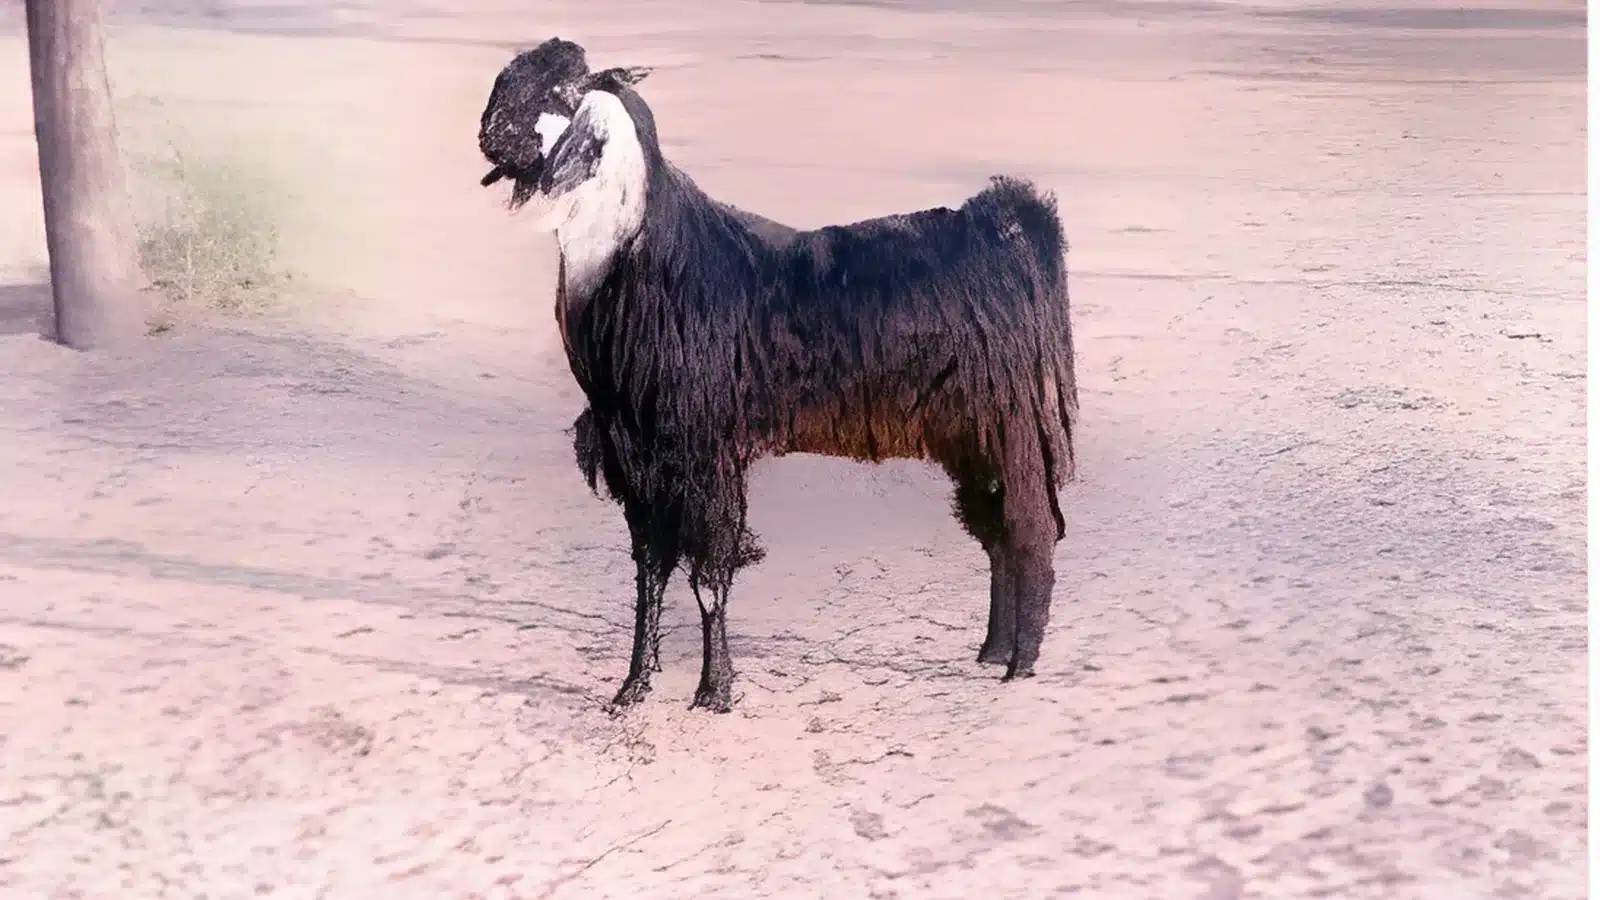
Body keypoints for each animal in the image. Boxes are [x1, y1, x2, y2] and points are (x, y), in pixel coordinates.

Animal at [478, 39, 1079, 712]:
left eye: (560, 92)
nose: (490, 138)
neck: (638, 259)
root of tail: (1010, 226)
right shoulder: (635, 453)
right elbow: (648, 572)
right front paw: (632, 687)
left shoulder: (703, 451)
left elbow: (709, 574)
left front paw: (715, 691)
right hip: (970, 433)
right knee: (997, 530)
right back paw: (993, 650)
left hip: (1009, 423)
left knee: (1028, 530)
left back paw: (1019, 665)